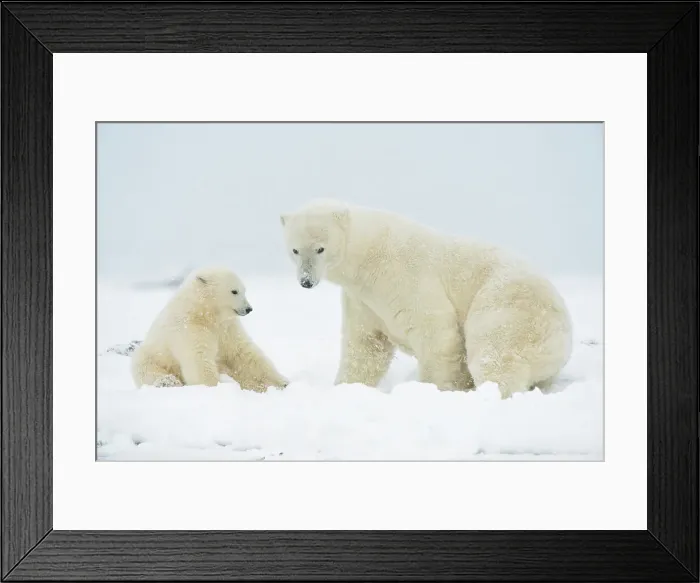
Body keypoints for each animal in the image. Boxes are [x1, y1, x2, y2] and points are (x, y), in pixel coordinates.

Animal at [131, 266, 288, 391]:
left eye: (244, 290)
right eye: (234, 291)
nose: (249, 308)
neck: (205, 313)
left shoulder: (226, 327)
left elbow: (242, 353)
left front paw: (282, 382)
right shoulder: (188, 328)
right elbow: (198, 358)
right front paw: (214, 386)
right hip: (149, 359)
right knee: (149, 372)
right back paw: (168, 382)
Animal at [280, 198, 572, 399]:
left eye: (320, 248)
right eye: (295, 250)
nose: (306, 281)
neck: (368, 256)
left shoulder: (403, 276)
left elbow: (434, 331)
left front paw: (435, 388)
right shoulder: (362, 299)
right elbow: (366, 344)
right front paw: (346, 388)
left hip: (510, 306)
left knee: (496, 353)